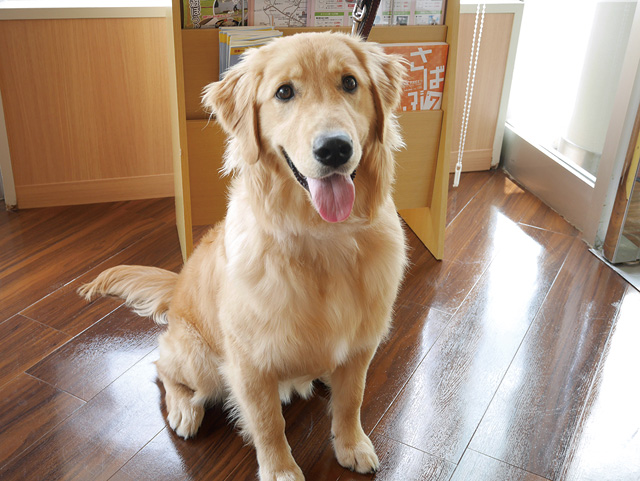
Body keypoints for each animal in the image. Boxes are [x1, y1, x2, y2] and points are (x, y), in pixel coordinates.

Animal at [80, 31, 408, 478]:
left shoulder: (361, 346)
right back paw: (184, 411)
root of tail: (176, 288)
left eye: (350, 83)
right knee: (164, 368)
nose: (335, 149)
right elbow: (269, 423)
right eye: (284, 92)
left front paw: (351, 445)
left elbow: (352, 400)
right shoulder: (251, 362)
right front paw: (281, 469)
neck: (324, 238)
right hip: (201, 362)